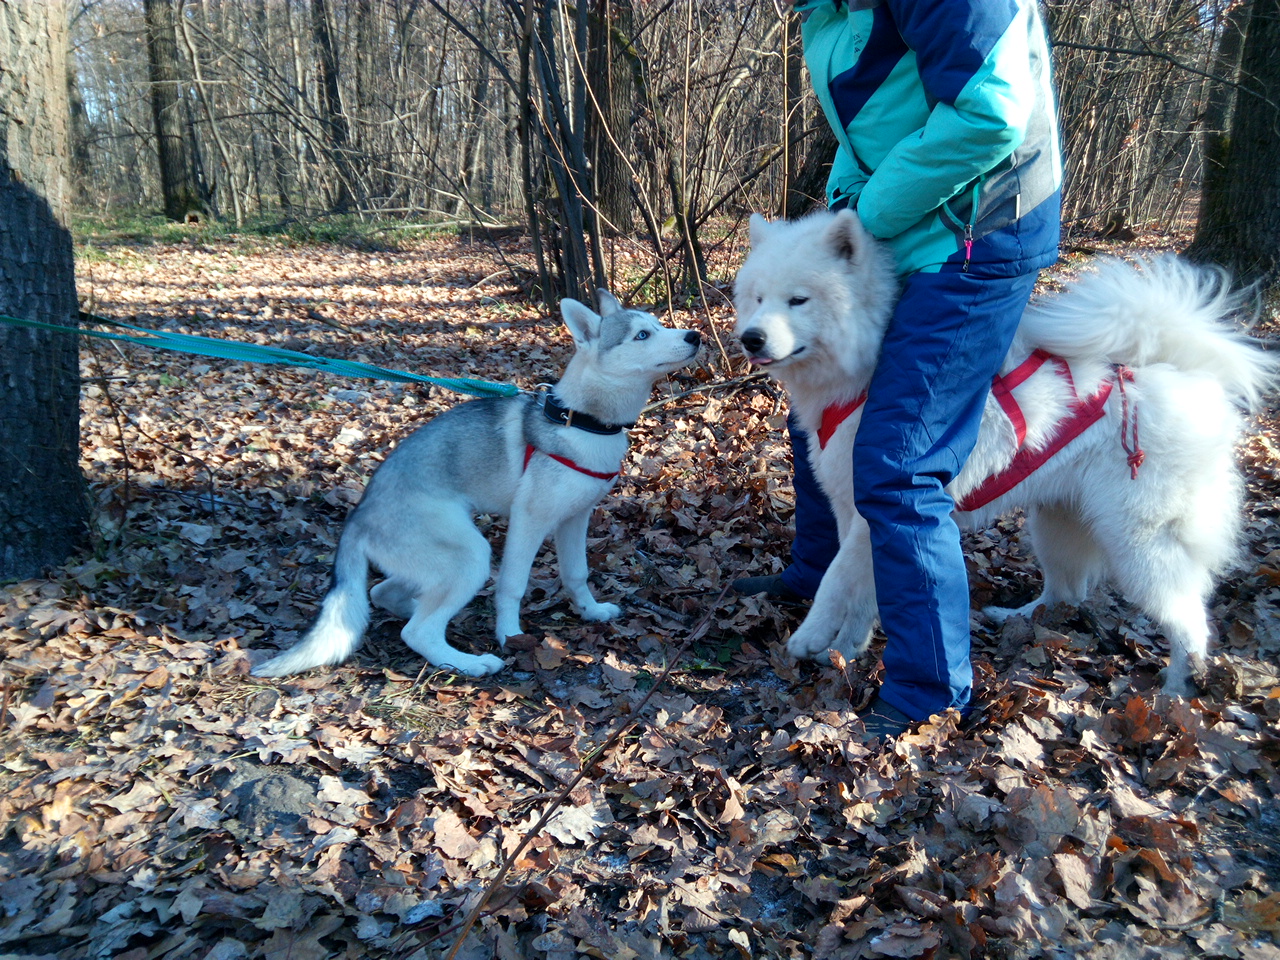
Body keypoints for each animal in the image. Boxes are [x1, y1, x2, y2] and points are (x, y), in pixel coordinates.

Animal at [250, 291, 706, 675]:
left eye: (658, 323)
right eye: (642, 335)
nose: (695, 335)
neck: (581, 420)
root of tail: (359, 514)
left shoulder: (575, 519)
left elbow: (577, 574)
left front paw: (590, 611)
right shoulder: (529, 521)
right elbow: (513, 586)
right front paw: (510, 634)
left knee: (386, 595)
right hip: (471, 554)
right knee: (418, 631)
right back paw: (468, 662)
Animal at [737, 209, 1274, 696]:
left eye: (798, 299)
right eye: (758, 298)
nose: (750, 338)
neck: (868, 375)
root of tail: (1189, 374)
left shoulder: (878, 510)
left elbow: (835, 578)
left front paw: (811, 637)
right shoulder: (855, 513)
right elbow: (864, 592)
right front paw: (846, 649)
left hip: (1138, 541)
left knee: (1187, 618)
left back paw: (1177, 692)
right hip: (1057, 522)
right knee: (1064, 592)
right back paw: (1015, 616)